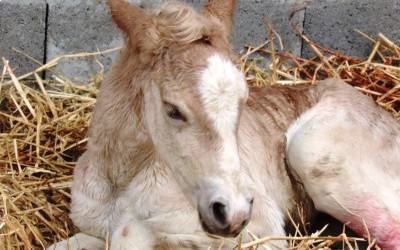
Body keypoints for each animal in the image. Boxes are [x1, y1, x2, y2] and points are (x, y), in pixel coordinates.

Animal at [50, 0, 400, 250]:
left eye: (243, 101)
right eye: (173, 109)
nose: (233, 212)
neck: (121, 182)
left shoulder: (263, 229)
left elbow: (131, 234)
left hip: (314, 151)